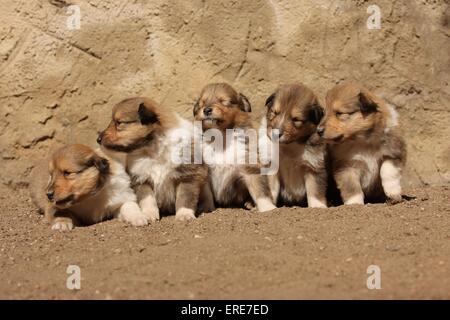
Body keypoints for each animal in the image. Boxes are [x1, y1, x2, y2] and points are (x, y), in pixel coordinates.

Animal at [194, 82, 278, 212]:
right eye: (202, 103)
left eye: (224, 101)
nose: (206, 110)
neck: (221, 137)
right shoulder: (204, 171)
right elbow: (206, 194)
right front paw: (206, 209)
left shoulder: (249, 165)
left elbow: (259, 189)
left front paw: (268, 208)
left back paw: (250, 204)